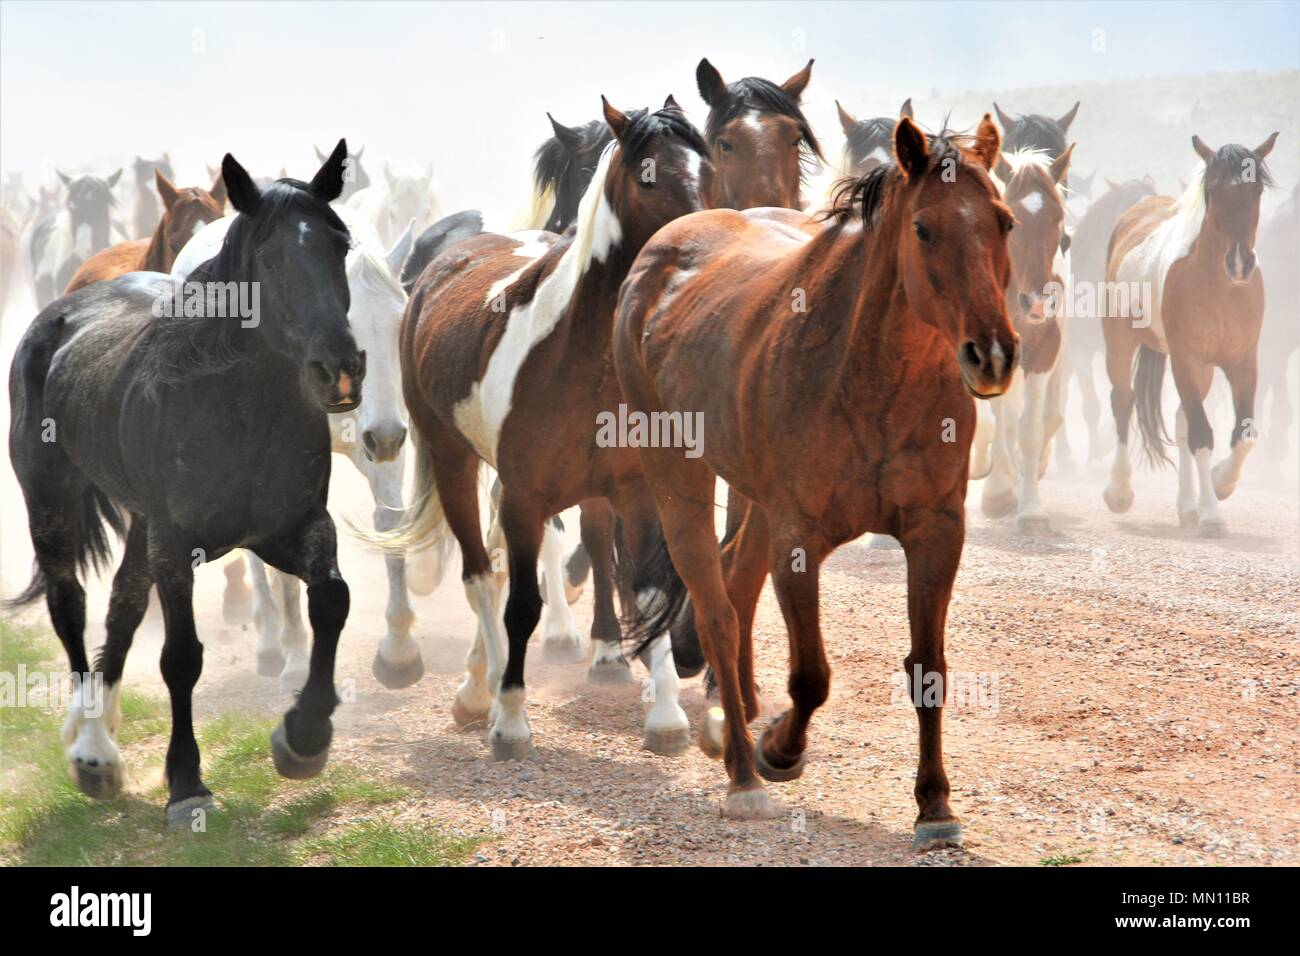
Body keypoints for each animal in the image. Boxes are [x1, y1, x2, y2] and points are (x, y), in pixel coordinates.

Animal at [173, 203, 417, 691]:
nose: (386, 436)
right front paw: (297, 654)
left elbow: (390, 522)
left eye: (399, 324)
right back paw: (271, 643)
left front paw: (399, 650)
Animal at [368, 99, 713, 759]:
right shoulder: (526, 498)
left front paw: (666, 715)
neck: (576, 353)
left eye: (706, 165)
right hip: (453, 461)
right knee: (482, 577)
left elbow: (647, 588)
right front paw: (510, 718)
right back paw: (480, 692)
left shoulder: (635, 491)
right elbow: (520, 603)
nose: (700, 239)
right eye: (648, 176)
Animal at [613, 116, 1016, 847]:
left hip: (752, 496)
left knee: (735, 582)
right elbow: (810, 677)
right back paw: (743, 773)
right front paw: (779, 748)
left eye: (1003, 221)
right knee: (715, 606)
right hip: (678, 473)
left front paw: (935, 806)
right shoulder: (798, 539)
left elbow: (929, 670)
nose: (992, 353)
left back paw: (733, 719)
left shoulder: (936, 531)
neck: (873, 375)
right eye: (924, 229)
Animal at [1102, 133, 1278, 536]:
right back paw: (1119, 491)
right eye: (1212, 188)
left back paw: (1186, 505)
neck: (1219, 285)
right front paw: (1212, 514)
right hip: (1119, 342)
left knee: (1182, 417)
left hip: (1205, 369)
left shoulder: (1242, 363)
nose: (1240, 263)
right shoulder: (1186, 358)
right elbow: (1202, 435)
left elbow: (1243, 434)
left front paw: (1219, 483)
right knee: (1123, 400)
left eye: (1257, 190)